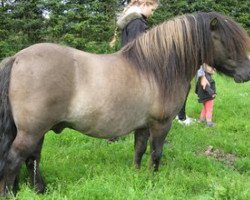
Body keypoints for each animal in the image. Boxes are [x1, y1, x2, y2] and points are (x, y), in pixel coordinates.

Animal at [0, 11, 249, 195]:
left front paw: (137, 175)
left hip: (34, 131)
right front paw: (152, 178)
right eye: (227, 41)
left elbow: (139, 149)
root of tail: (18, 57)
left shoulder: (143, 126)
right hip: (32, 131)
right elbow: (156, 153)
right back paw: (11, 192)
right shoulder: (161, 125)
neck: (155, 69)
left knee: (31, 158)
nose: (245, 74)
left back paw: (36, 189)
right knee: (14, 159)